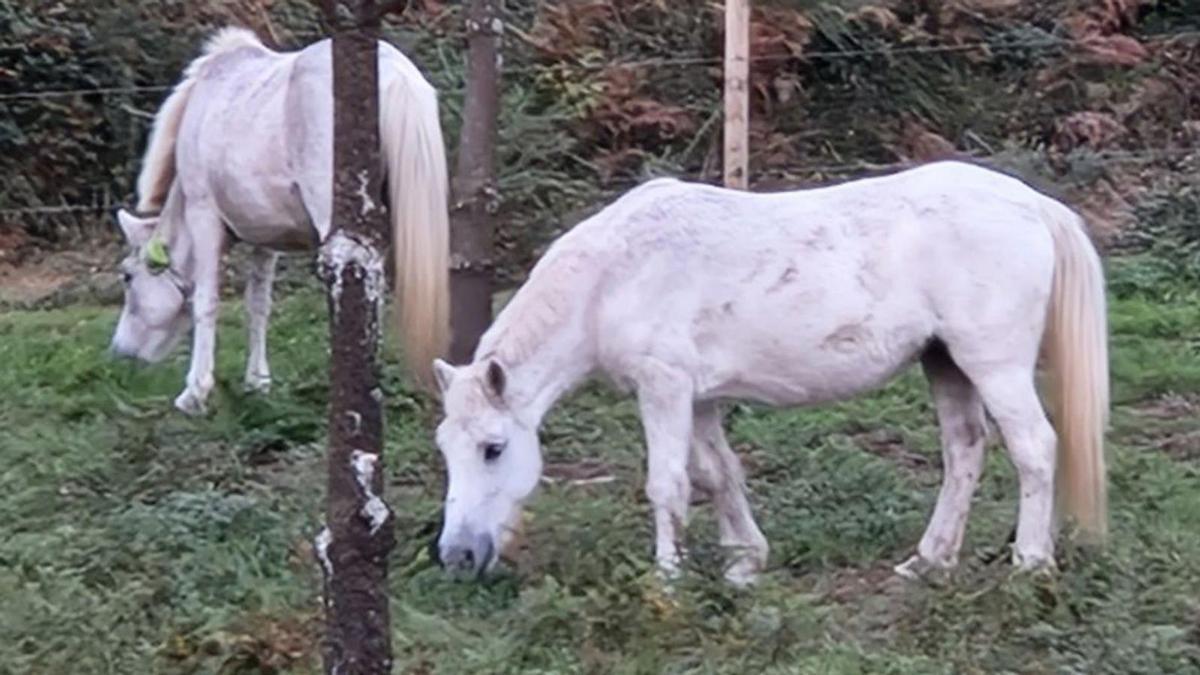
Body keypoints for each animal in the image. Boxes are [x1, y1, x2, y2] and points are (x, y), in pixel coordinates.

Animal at [109, 27, 450, 414]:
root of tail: (394, 73)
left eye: (127, 277)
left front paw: (195, 392)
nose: (120, 351)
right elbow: (259, 306)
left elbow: (206, 302)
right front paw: (258, 382)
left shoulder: (203, 215)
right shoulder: (265, 237)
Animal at [430, 161, 1109, 586]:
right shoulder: (698, 399)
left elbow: (667, 485)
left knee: (1035, 449)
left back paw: (1030, 565)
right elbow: (718, 475)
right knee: (964, 452)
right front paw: (744, 564)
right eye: (446, 451)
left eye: (493, 448)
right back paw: (928, 563)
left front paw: (667, 584)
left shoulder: (664, 389)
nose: (456, 555)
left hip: (993, 366)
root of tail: (1033, 204)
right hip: (945, 363)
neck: (614, 274)